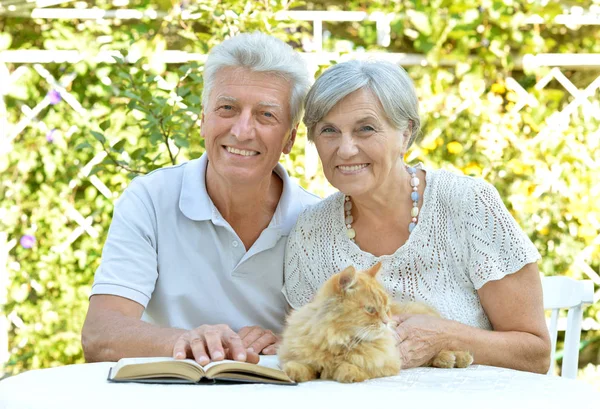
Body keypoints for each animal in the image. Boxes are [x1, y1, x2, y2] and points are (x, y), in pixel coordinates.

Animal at [278, 262, 474, 382]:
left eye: (386, 309)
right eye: (371, 310)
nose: (387, 321)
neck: (339, 339)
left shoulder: (388, 362)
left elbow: (357, 365)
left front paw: (348, 372)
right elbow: (302, 365)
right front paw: (293, 372)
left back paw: (456, 358)